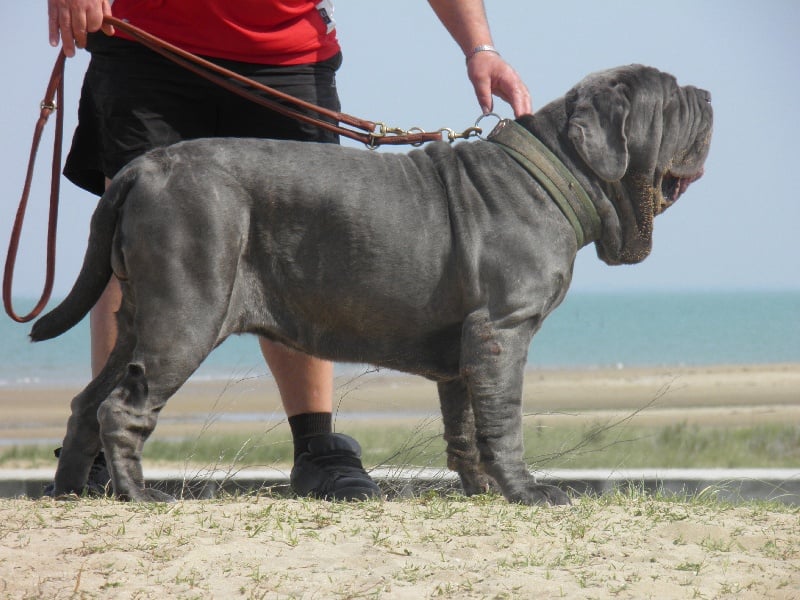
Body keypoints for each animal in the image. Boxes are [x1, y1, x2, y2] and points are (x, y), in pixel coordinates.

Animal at [31, 64, 712, 506]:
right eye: (673, 99)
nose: (706, 92)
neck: (556, 170)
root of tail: (142, 168)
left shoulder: (466, 346)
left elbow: (466, 426)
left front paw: (479, 492)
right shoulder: (503, 330)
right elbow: (503, 420)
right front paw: (527, 493)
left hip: (138, 315)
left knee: (87, 402)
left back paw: (68, 492)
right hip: (186, 311)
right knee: (123, 406)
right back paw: (139, 496)